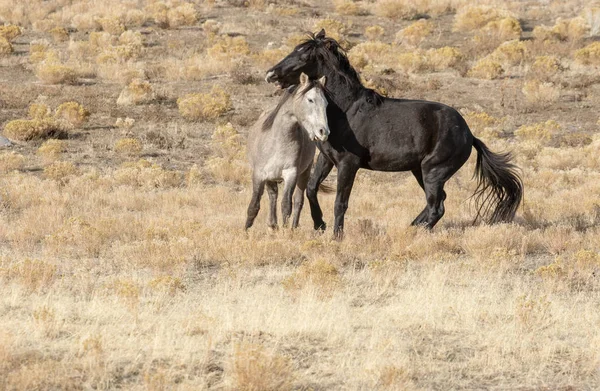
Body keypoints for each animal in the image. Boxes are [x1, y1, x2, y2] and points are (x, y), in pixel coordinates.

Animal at [244, 73, 328, 230]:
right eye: (310, 99)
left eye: (326, 103)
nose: (323, 131)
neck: (276, 142)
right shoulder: (259, 175)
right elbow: (253, 206)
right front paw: (246, 231)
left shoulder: (291, 173)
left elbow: (286, 205)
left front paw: (286, 231)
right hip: (271, 178)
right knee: (273, 196)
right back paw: (272, 225)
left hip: (304, 173)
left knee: (298, 201)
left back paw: (292, 227)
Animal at [264, 30, 524, 239]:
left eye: (303, 55)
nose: (270, 75)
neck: (345, 110)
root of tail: (469, 135)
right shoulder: (327, 158)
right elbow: (311, 189)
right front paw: (320, 225)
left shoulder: (348, 163)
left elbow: (340, 202)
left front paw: (336, 237)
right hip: (420, 171)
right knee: (438, 202)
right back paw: (411, 228)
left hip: (433, 171)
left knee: (436, 207)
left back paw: (415, 233)